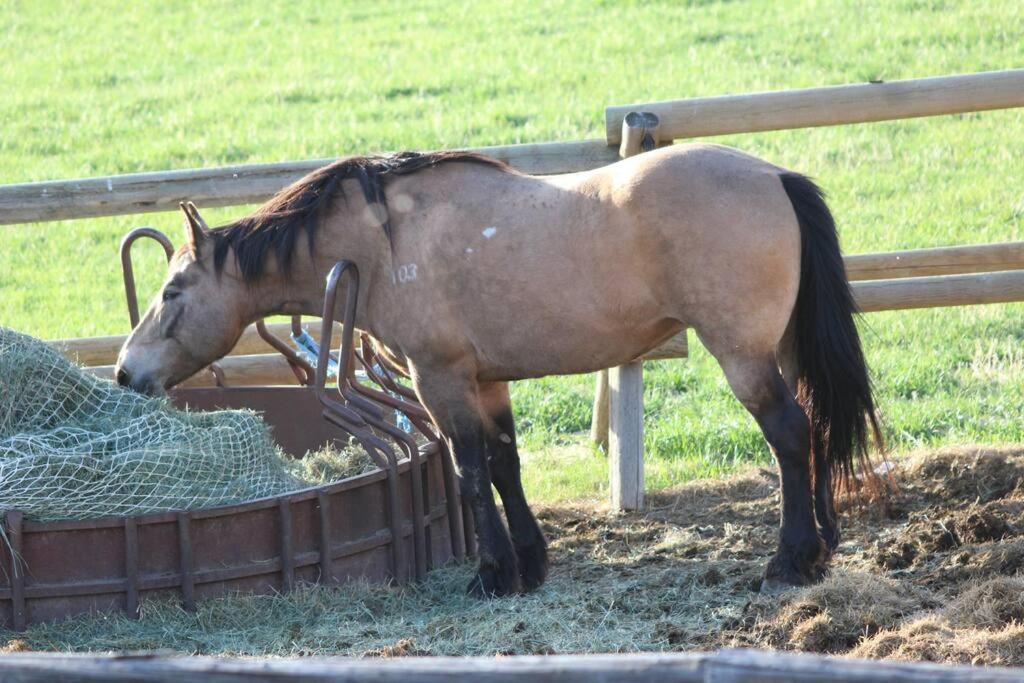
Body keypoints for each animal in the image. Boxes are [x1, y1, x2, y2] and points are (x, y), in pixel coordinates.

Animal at [112, 145, 880, 598]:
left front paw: (492, 572)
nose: (125, 372)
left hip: (743, 355)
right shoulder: (487, 380)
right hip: (778, 350)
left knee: (789, 434)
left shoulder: (440, 379)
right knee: (814, 428)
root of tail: (774, 176)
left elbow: (470, 470)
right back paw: (824, 546)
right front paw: (530, 562)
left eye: (172, 292)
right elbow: (507, 465)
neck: (386, 242)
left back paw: (791, 559)